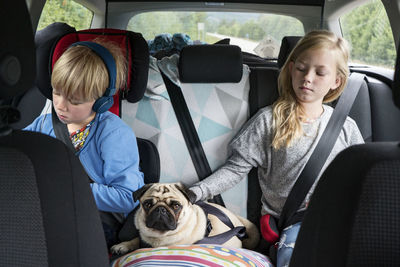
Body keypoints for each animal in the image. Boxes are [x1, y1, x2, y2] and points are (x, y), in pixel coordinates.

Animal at [109, 182, 260, 255]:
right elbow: (135, 240)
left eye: (176, 206)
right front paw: (123, 245)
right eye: (147, 204)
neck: (158, 237)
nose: (161, 209)